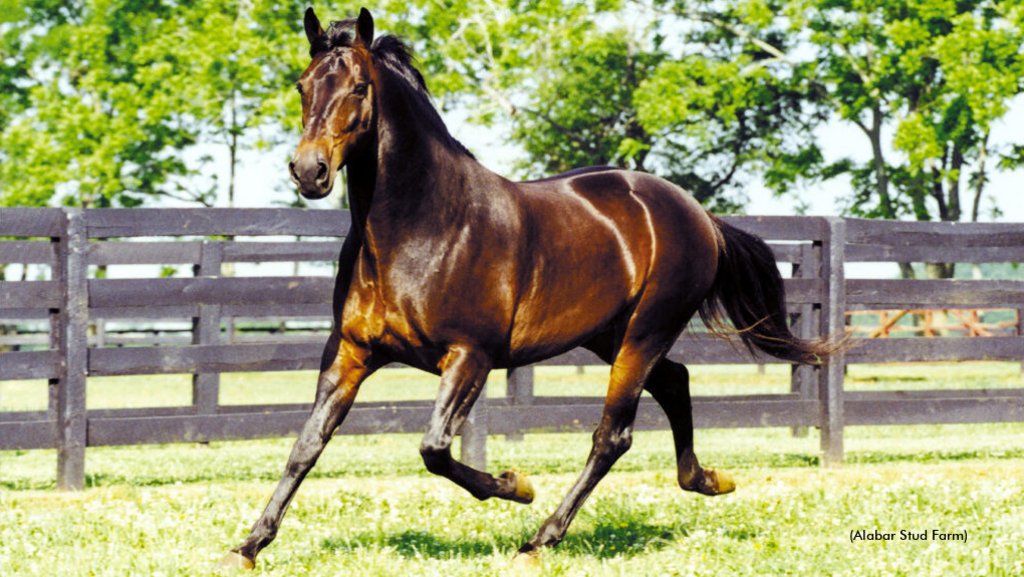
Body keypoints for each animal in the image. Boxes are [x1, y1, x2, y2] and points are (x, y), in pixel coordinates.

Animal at [220, 7, 832, 569]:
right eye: (303, 86)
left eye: (359, 86)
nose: (309, 171)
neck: (421, 226)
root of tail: (699, 215)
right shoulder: (351, 351)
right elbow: (306, 445)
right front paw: (248, 547)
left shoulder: (469, 355)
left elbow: (434, 448)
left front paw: (516, 484)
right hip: (608, 335)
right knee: (675, 383)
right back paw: (709, 480)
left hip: (645, 332)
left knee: (612, 435)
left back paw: (541, 538)